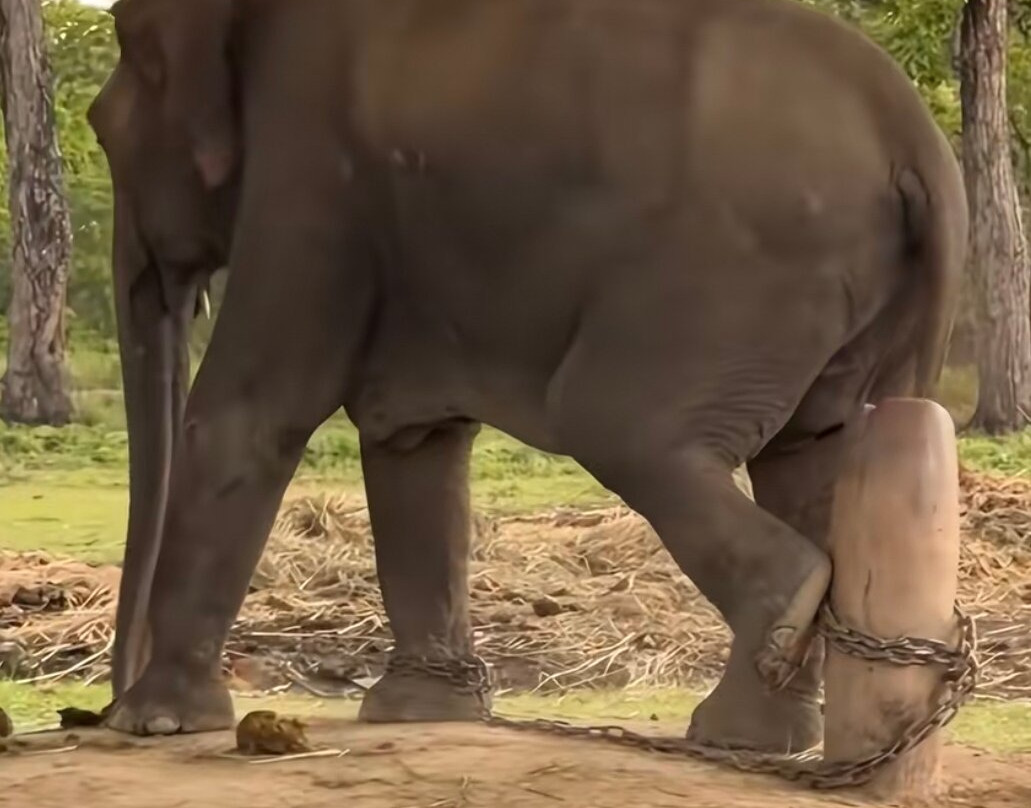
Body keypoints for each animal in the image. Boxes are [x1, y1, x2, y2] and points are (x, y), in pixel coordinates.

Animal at [87, 0, 967, 754]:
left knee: (619, 427)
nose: (97, 707)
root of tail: (914, 134)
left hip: (737, 278)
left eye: (102, 130)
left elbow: (250, 410)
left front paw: (157, 725)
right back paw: (752, 736)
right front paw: (422, 713)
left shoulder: (308, 165)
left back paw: (760, 665)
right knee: (808, 451)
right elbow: (414, 439)